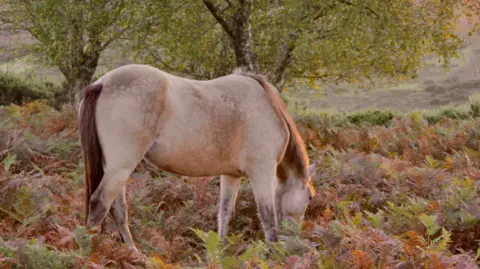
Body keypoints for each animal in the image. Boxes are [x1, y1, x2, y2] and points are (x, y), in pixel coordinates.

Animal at [79, 63, 316, 250]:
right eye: (310, 198)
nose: (295, 236)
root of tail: (102, 83)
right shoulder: (262, 171)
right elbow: (268, 218)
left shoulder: (231, 175)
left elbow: (225, 213)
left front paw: (220, 251)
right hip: (121, 166)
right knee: (100, 204)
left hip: (115, 168)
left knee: (117, 209)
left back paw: (133, 253)